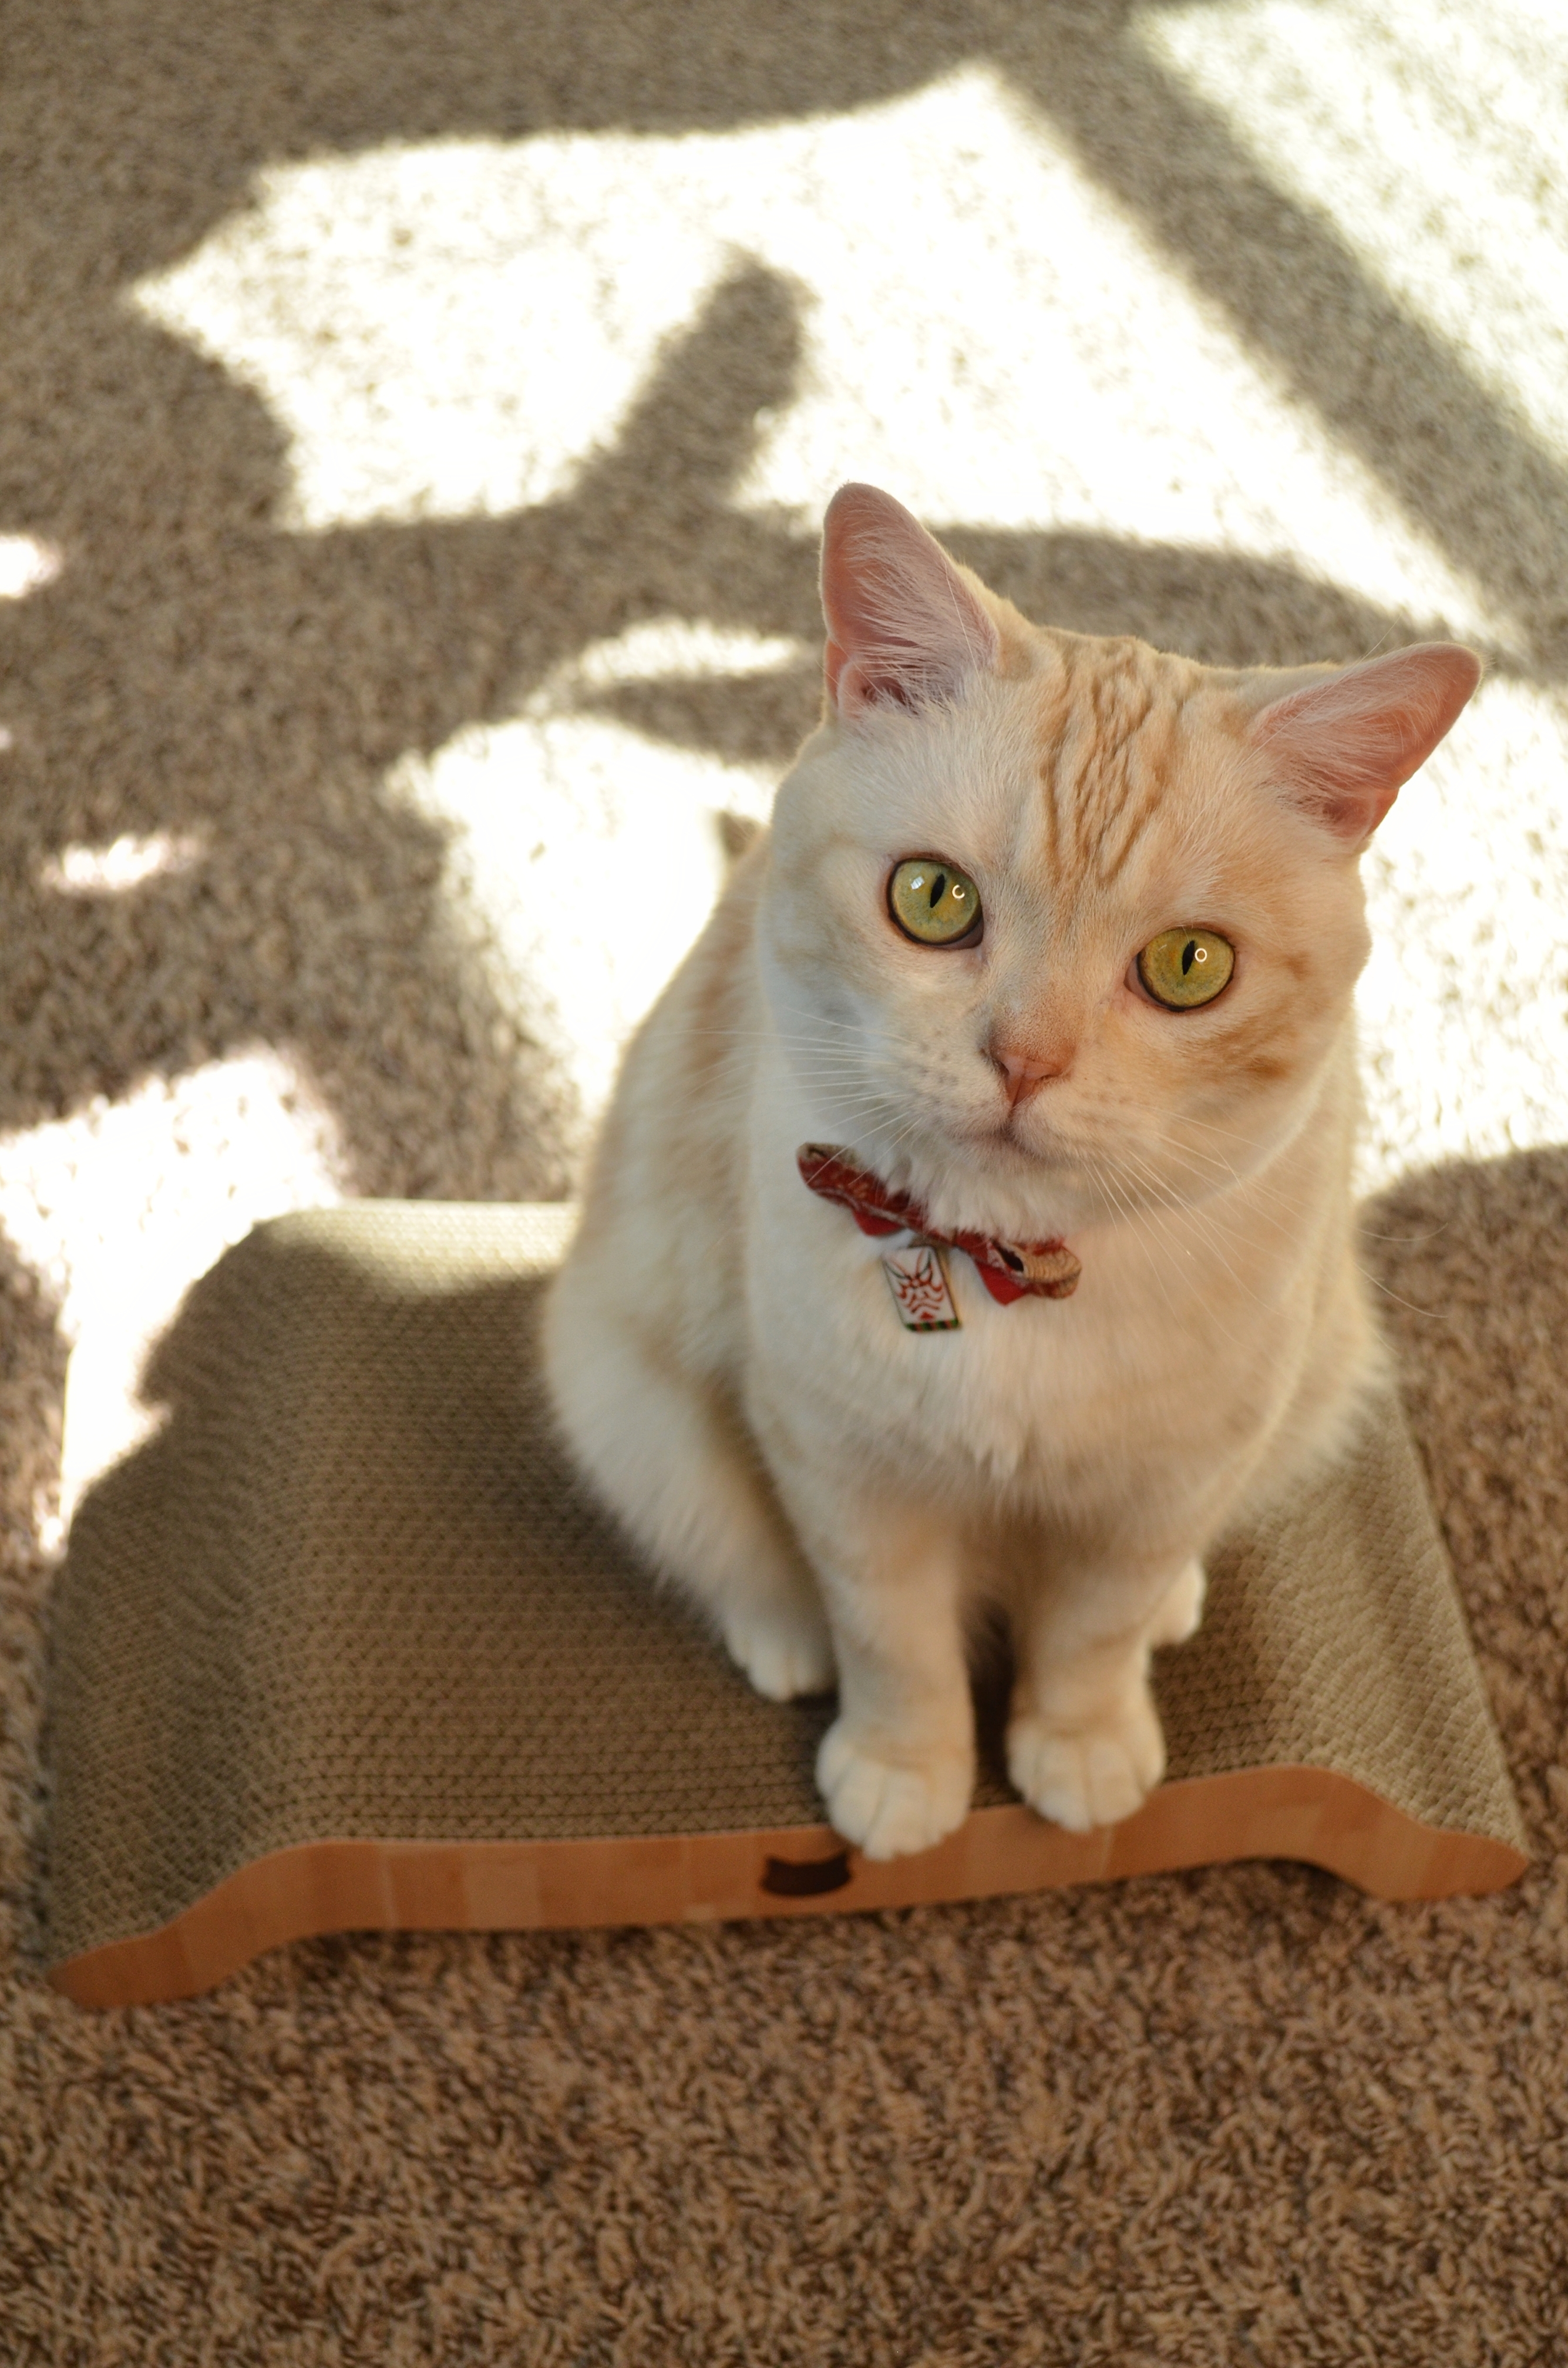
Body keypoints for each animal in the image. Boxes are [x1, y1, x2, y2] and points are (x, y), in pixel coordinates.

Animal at [544, 480, 1487, 1846]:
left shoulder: (1164, 1486)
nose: (1024, 1059)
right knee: (729, 1546)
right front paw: (904, 1778)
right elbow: (892, 1640)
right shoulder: (843, 1469)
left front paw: (1081, 1752)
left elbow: (1093, 1634)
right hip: (625, 1390)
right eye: (933, 899)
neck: (1007, 1270)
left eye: (1190, 966)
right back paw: (784, 1637)